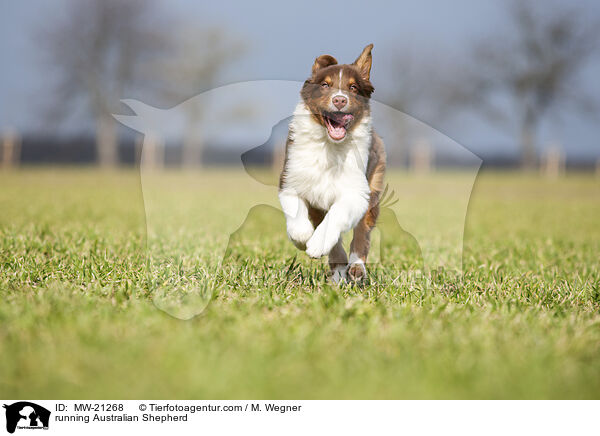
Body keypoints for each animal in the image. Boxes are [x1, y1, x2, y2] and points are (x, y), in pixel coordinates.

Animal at [278, 44, 386, 282]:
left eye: (353, 87)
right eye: (325, 85)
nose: (339, 100)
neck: (329, 147)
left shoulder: (356, 191)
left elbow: (338, 215)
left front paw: (317, 244)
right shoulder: (291, 180)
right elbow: (296, 213)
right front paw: (304, 240)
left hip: (373, 183)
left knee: (362, 231)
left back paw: (355, 268)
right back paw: (338, 271)